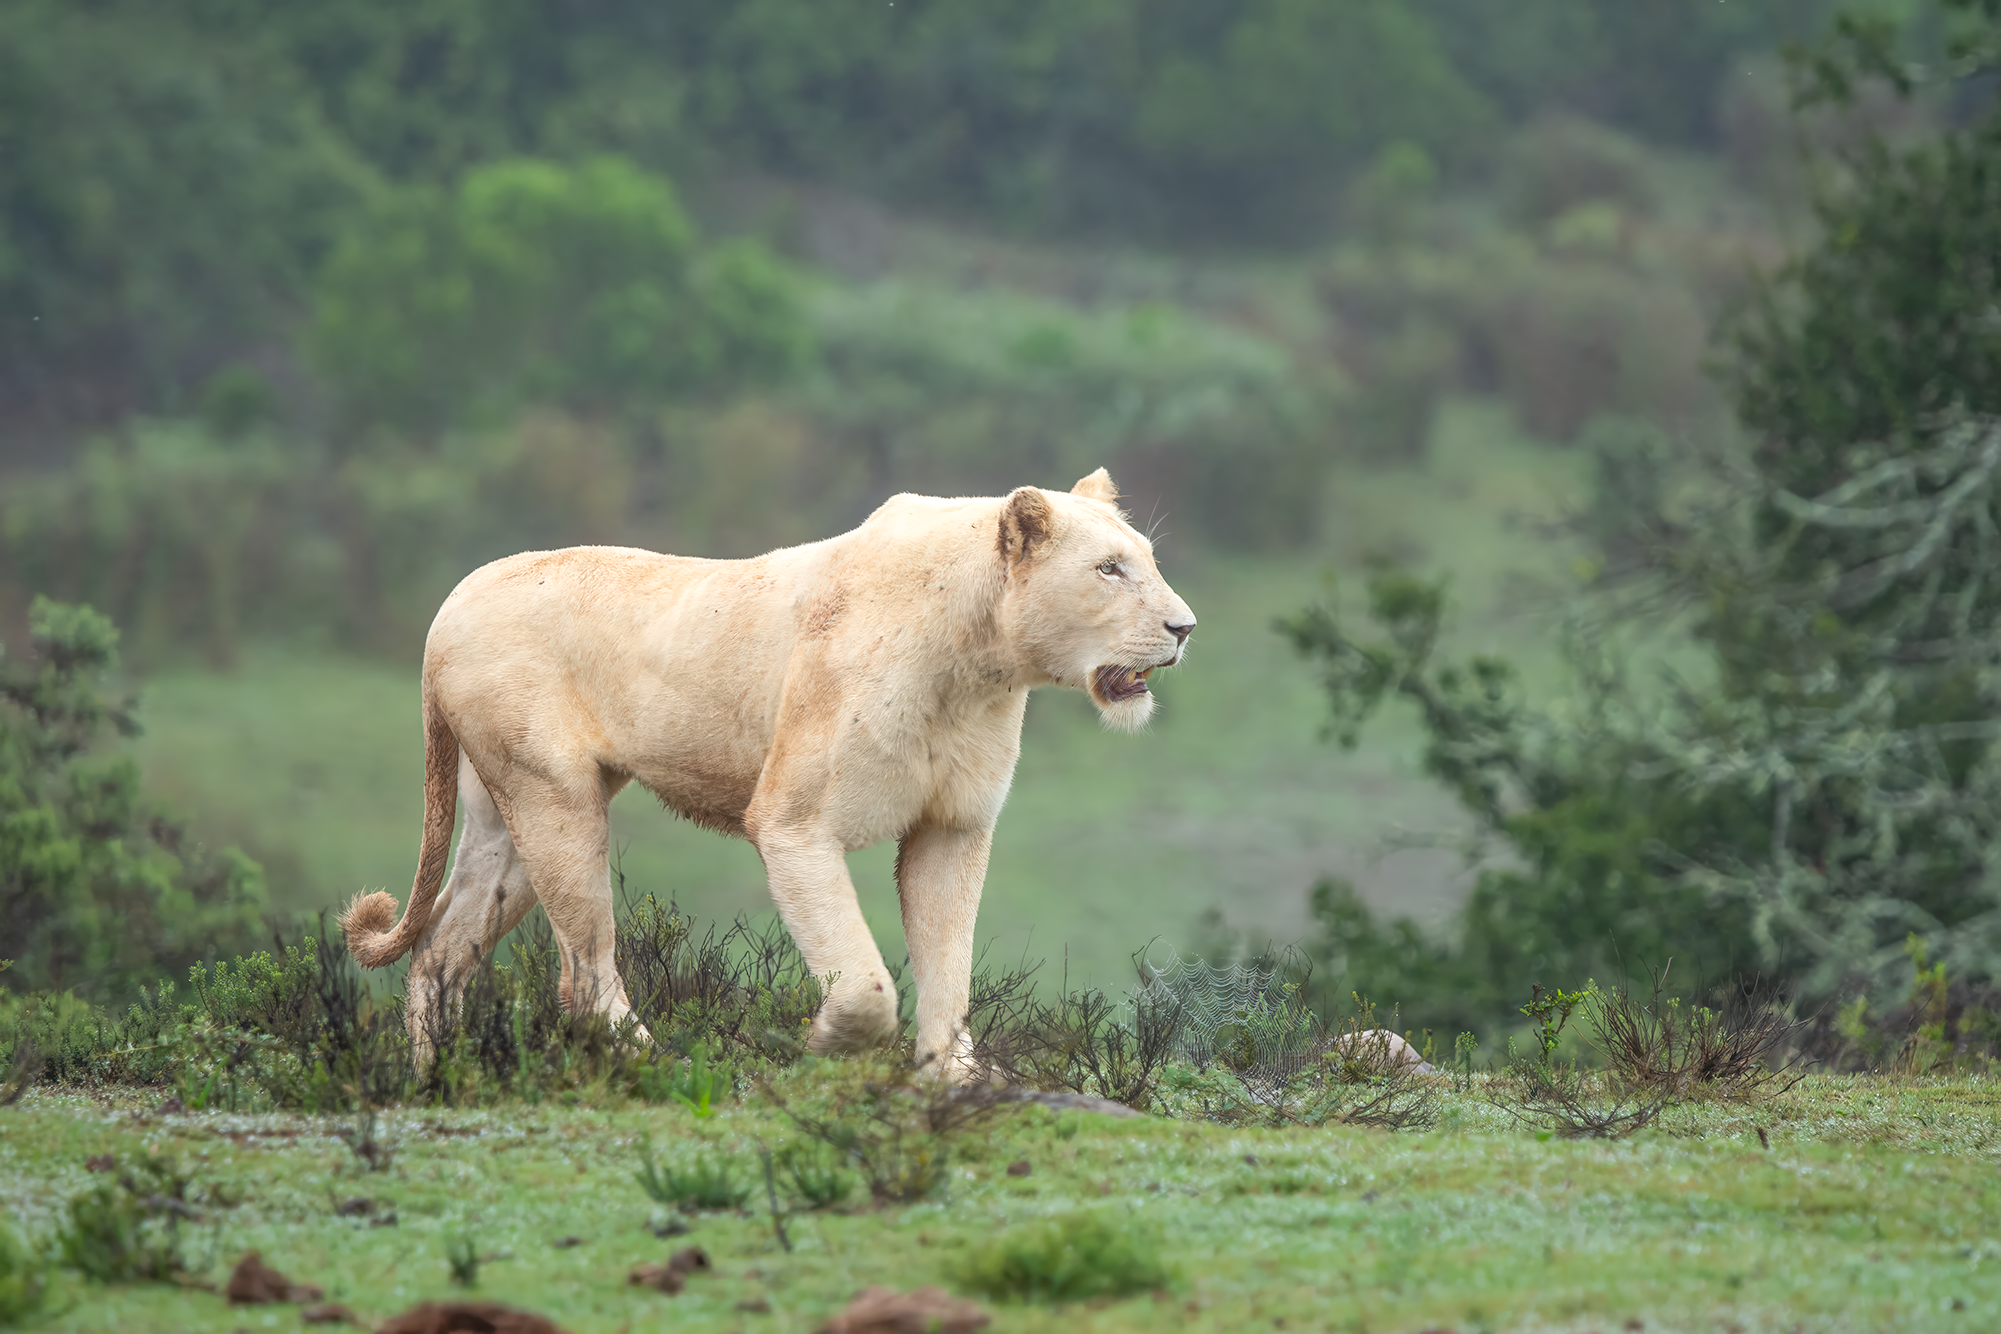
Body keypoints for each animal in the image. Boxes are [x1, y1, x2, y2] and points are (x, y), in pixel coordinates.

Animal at [340, 468, 1195, 1076]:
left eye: (1149, 562)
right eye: (1109, 569)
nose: (1184, 627)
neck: (978, 666)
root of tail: (452, 601)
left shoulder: (951, 827)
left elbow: (948, 972)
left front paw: (951, 1081)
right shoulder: (793, 823)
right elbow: (864, 981)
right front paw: (823, 1049)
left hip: (506, 810)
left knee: (442, 950)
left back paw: (441, 1080)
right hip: (554, 797)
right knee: (582, 971)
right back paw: (663, 1066)